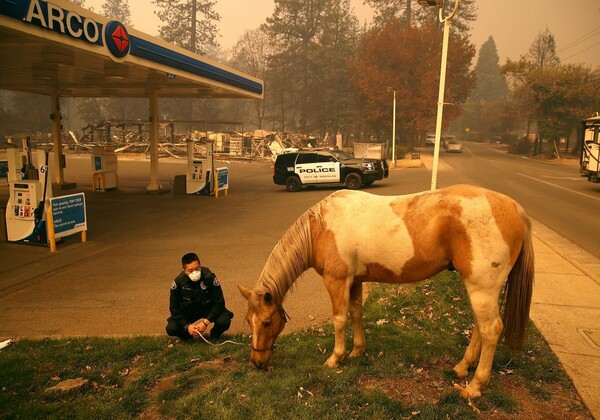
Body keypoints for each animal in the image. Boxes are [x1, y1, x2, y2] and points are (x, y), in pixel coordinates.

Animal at [239, 185, 536, 398]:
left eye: (267, 322)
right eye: (248, 321)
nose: (256, 362)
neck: (321, 227)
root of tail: (514, 207)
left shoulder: (337, 281)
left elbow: (339, 320)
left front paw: (335, 358)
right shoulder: (355, 281)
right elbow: (356, 313)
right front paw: (357, 351)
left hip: (481, 288)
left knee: (490, 330)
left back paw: (474, 386)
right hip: (481, 291)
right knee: (479, 327)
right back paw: (463, 368)